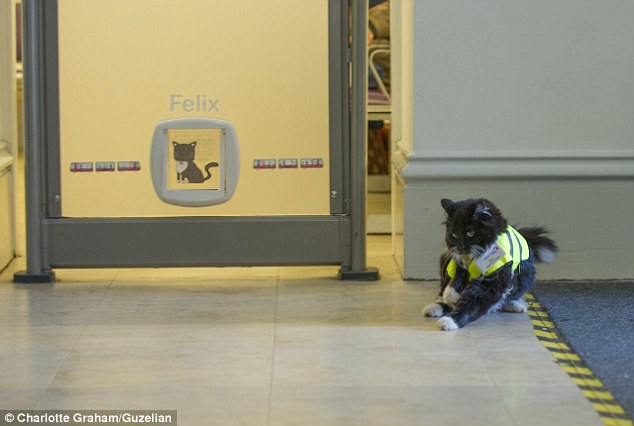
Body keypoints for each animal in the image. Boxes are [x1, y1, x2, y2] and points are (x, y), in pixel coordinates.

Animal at [422, 198, 556, 332]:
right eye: (454, 235)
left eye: (470, 233)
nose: (460, 247)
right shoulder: (456, 262)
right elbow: (456, 277)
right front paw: (451, 296)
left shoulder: (492, 283)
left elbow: (471, 303)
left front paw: (450, 320)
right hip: (445, 258)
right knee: (441, 290)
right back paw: (435, 306)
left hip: (525, 276)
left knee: (510, 297)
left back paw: (515, 305)